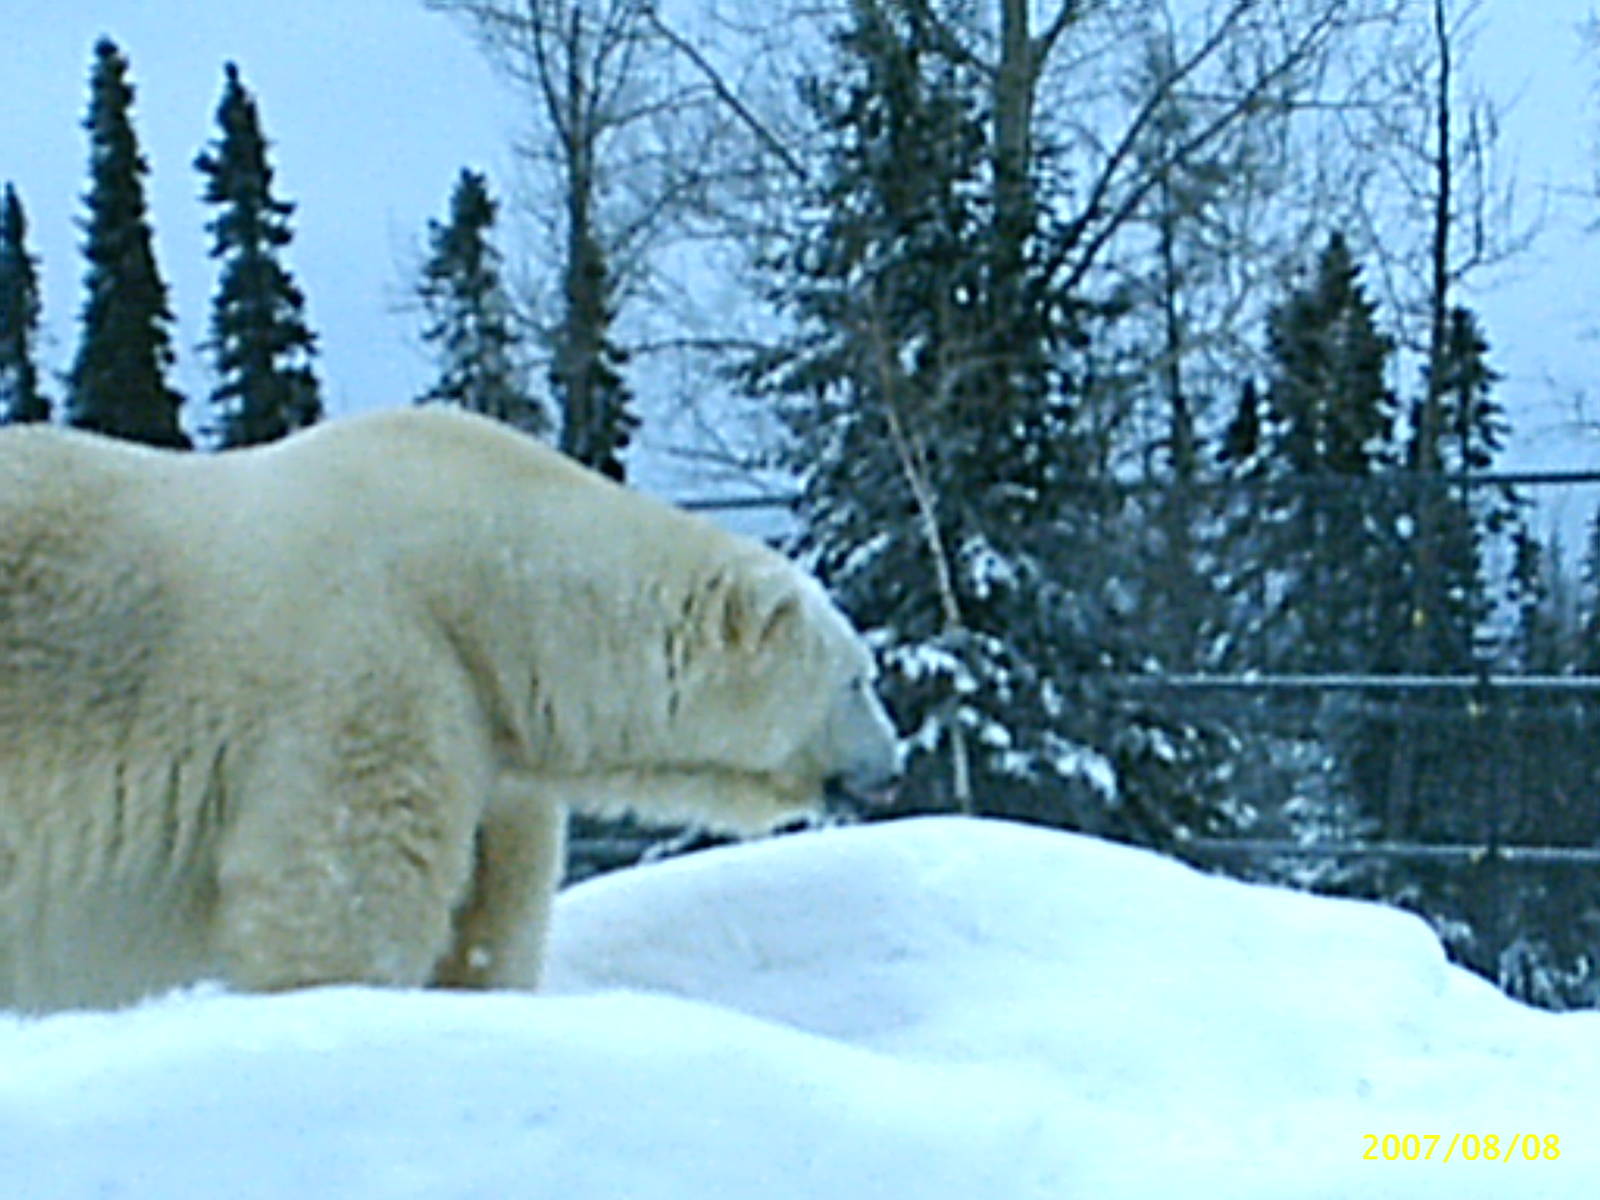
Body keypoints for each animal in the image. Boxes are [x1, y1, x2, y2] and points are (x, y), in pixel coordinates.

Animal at [0, 406, 901, 1013]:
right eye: (859, 679)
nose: (892, 767)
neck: (482, 582)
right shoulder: (367, 671)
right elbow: (336, 899)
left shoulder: (497, 742)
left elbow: (494, 916)